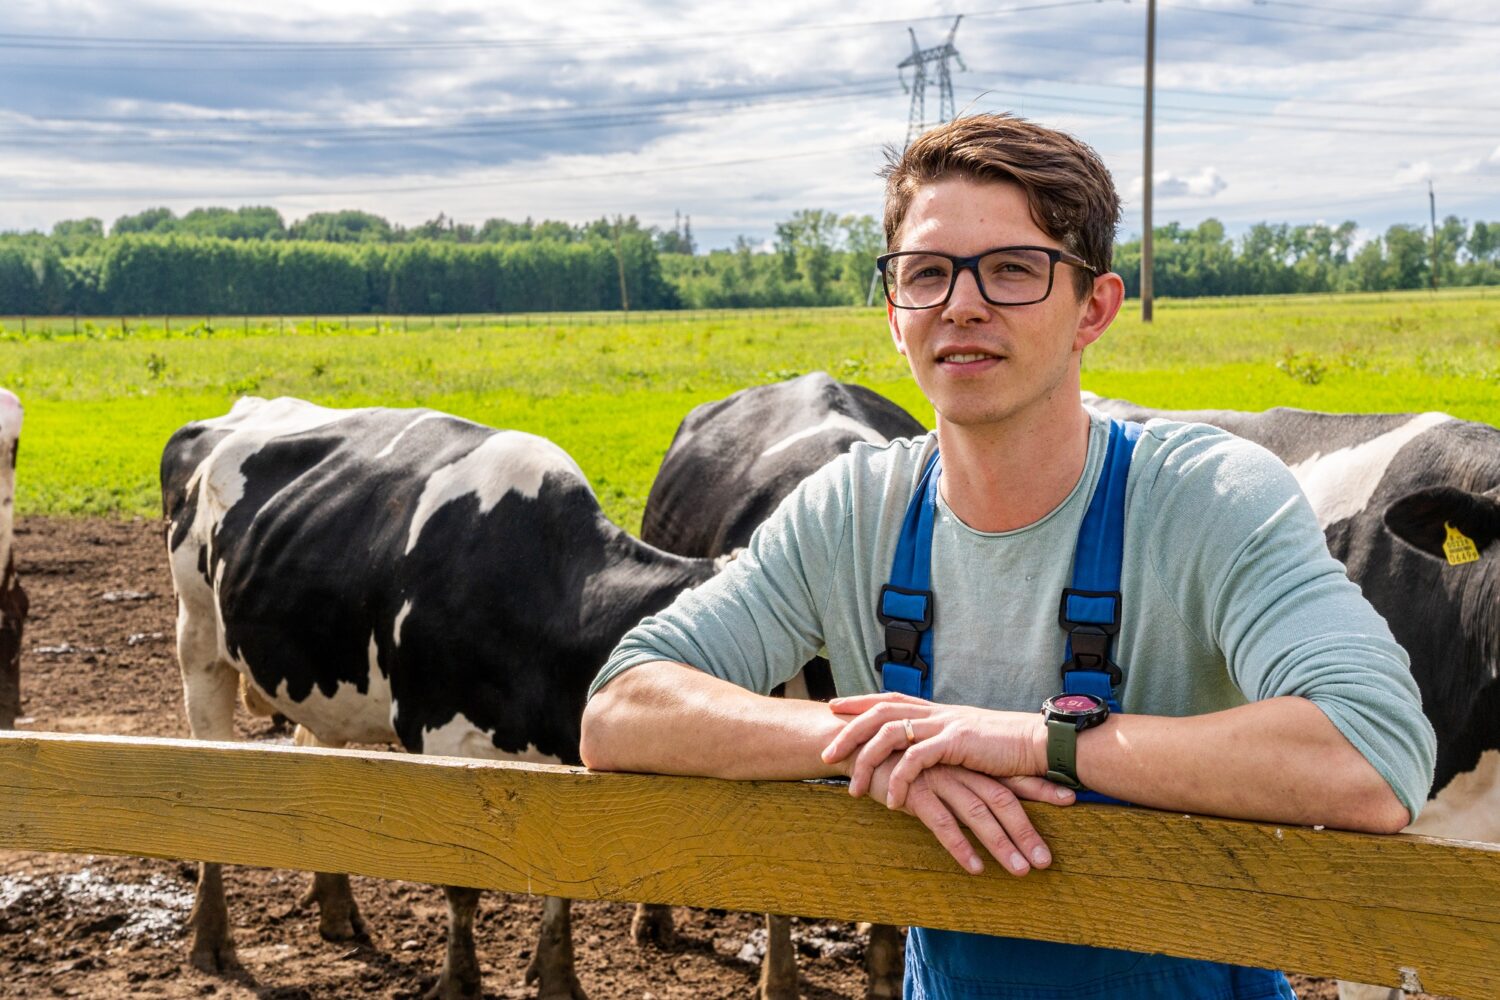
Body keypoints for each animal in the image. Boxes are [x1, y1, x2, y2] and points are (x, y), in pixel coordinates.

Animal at [161, 398, 723, 1000]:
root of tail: (244, 407)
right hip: (198, 642)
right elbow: (460, 884)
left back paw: (336, 913)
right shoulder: (439, 735)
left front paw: (556, 978)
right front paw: (458, 982)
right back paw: (212, 941)